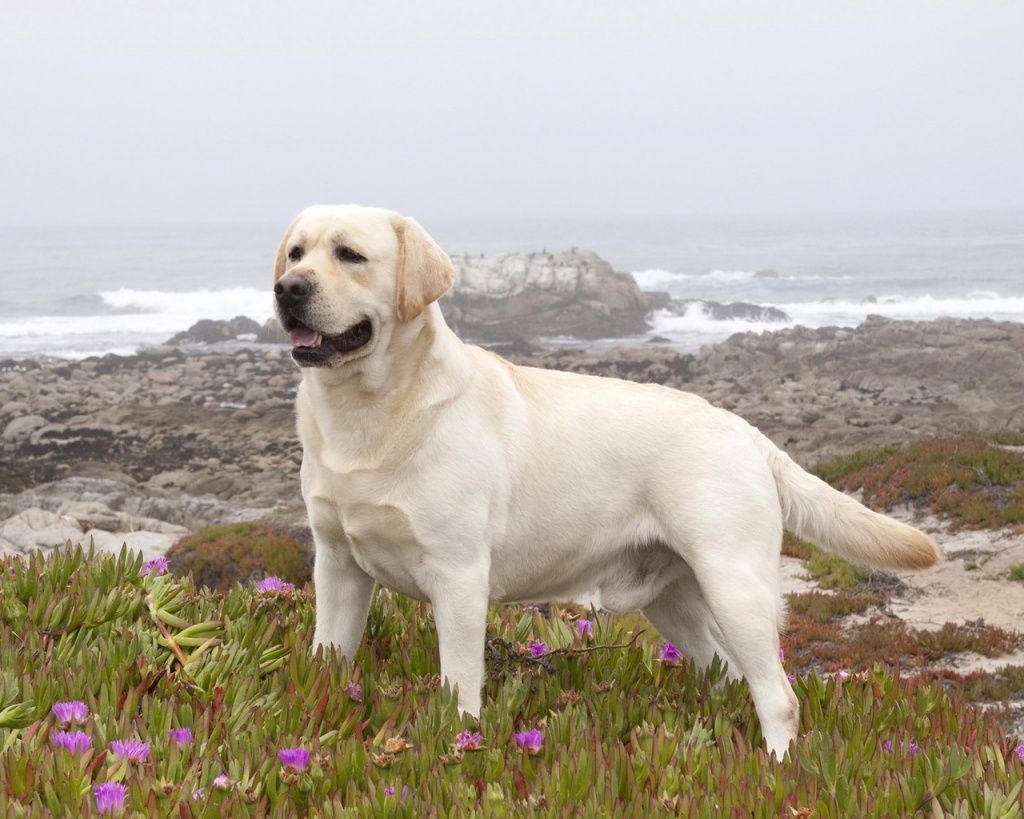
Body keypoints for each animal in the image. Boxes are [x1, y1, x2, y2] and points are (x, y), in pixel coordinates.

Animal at [272, 202, 937, 753]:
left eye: (350, 255)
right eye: (297, 252)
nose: (286, 289)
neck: (369, 413)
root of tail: (746, 430)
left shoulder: (458, 578)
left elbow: (459, 687)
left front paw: (459, 741)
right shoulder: (338, 566)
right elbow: (328, 656)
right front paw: (317, 712)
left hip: (736, 584)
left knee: (780, 696)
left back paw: (777, 770)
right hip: (674, 599)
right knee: (726, 672)